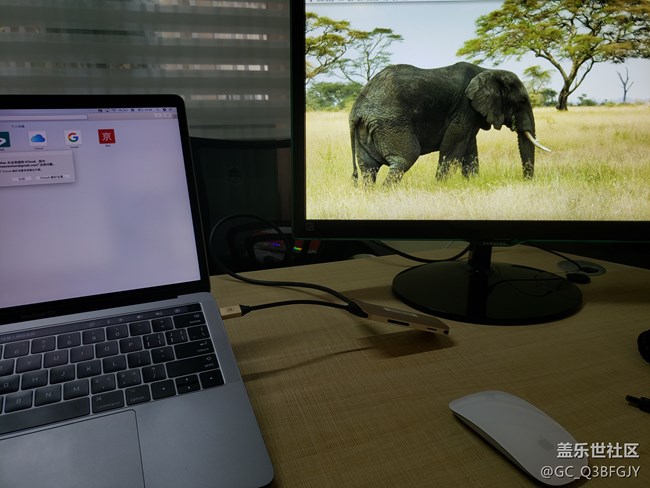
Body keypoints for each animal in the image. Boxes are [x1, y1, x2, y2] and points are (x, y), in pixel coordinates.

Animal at [349, 62, 550, 185]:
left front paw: (472, 183)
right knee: (405, 158)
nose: (525, 181)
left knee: (368, 168)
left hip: (367, 129)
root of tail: (356, 110)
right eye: (522, 101)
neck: (487, 70)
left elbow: (469, 148)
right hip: (390, 123)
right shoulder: (464, 107)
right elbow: (452, 147)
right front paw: (440, 185)